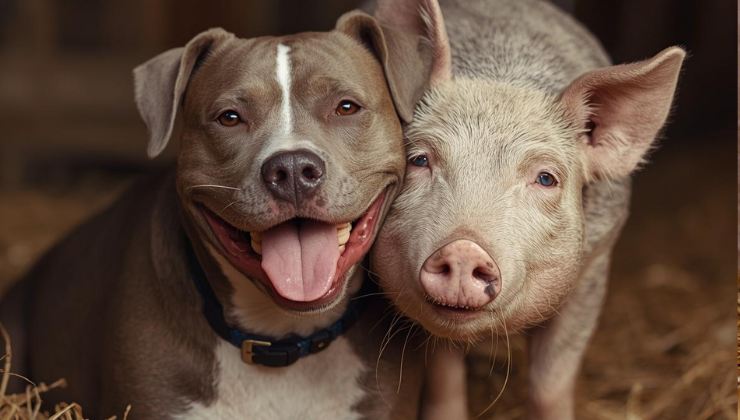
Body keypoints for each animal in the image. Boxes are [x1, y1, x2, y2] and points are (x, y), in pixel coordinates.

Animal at [366, 0, 685, 418]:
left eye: (546, 178)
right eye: (418, 159)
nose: (464, 249)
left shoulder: (594, 267)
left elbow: (550, 384)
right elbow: (443, 374)